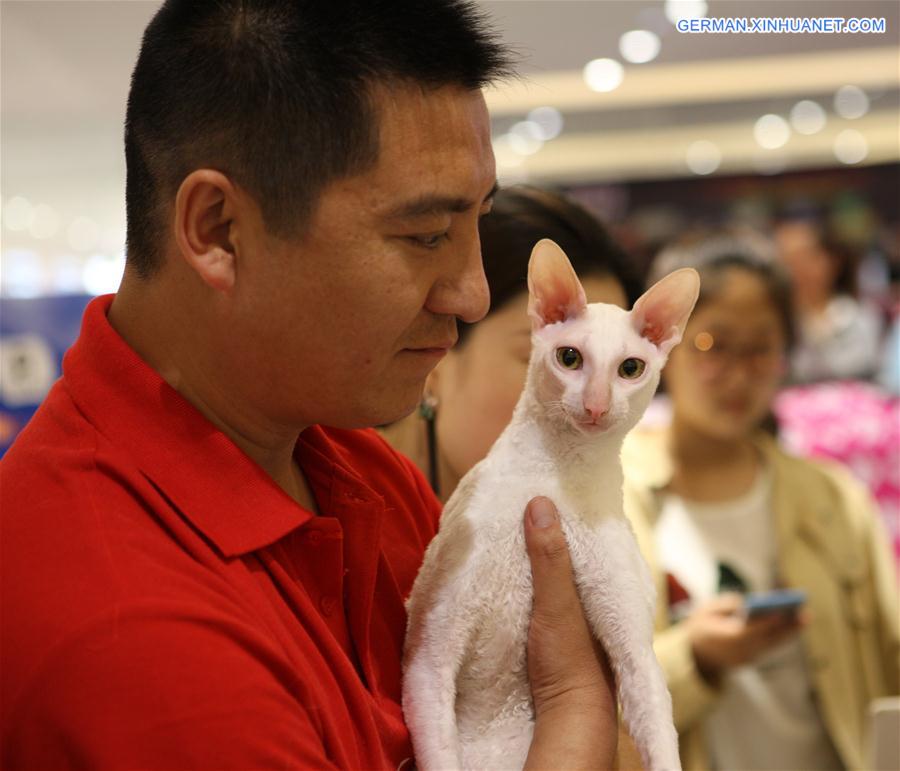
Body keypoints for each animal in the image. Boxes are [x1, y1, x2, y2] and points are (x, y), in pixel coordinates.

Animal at [402, 240, 704, 771]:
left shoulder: (634, 642)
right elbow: (436, 737)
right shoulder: (429, 647)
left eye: (631, 368)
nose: (597, 405)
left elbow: (657, 725)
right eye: (569, 357)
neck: (557, 480)